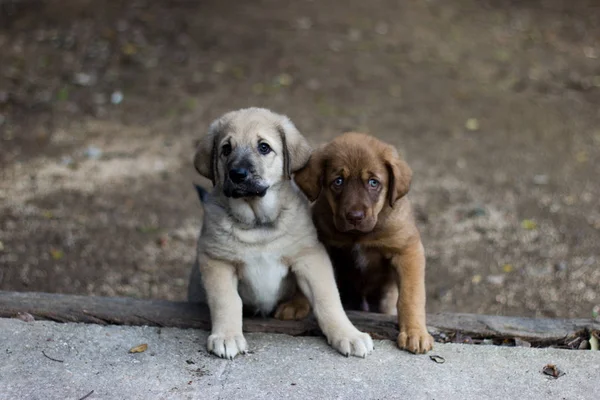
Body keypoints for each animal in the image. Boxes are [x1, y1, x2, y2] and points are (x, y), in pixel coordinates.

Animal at [190, 108, 372, 360]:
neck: (258, 224)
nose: (237, 174)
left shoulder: (310, 257)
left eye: (264, 147)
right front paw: (226, 336)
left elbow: (328, 300)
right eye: (226, 149)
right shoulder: (217, 261)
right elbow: (226, 301)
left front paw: (348, 334)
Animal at [290, 132, 432, 354]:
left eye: (373, 182)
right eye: (338, 181)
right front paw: (296, 304)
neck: (359, 235)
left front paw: (415, 333)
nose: (355, 217)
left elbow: (411, 296)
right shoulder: (318, 245)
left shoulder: (407, 250)